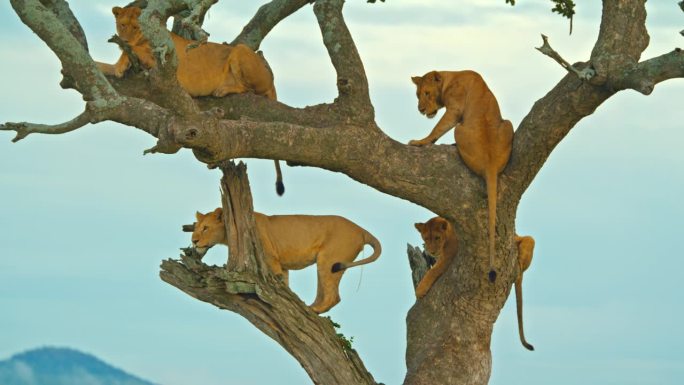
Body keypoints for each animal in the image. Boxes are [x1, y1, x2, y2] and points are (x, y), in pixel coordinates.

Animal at [95, 7, 284, 195]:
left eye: (135, 27)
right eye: (122, 25)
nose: (124, 40)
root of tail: (272, 79)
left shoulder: (160, 61)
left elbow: (135, 50)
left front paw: (123, 62)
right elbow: (101, 65)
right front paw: (117, 65)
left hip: (241, 50)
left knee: (250, 89)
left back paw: (222, 89)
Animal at [406, 70, 512, 282]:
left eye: (427, 93)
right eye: (418, 95)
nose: (421, 109)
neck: (450, 77)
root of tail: (490, 162)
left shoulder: (454, 110)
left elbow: (437, 129)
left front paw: (420, 142)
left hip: (458, 129)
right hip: (508, 124)